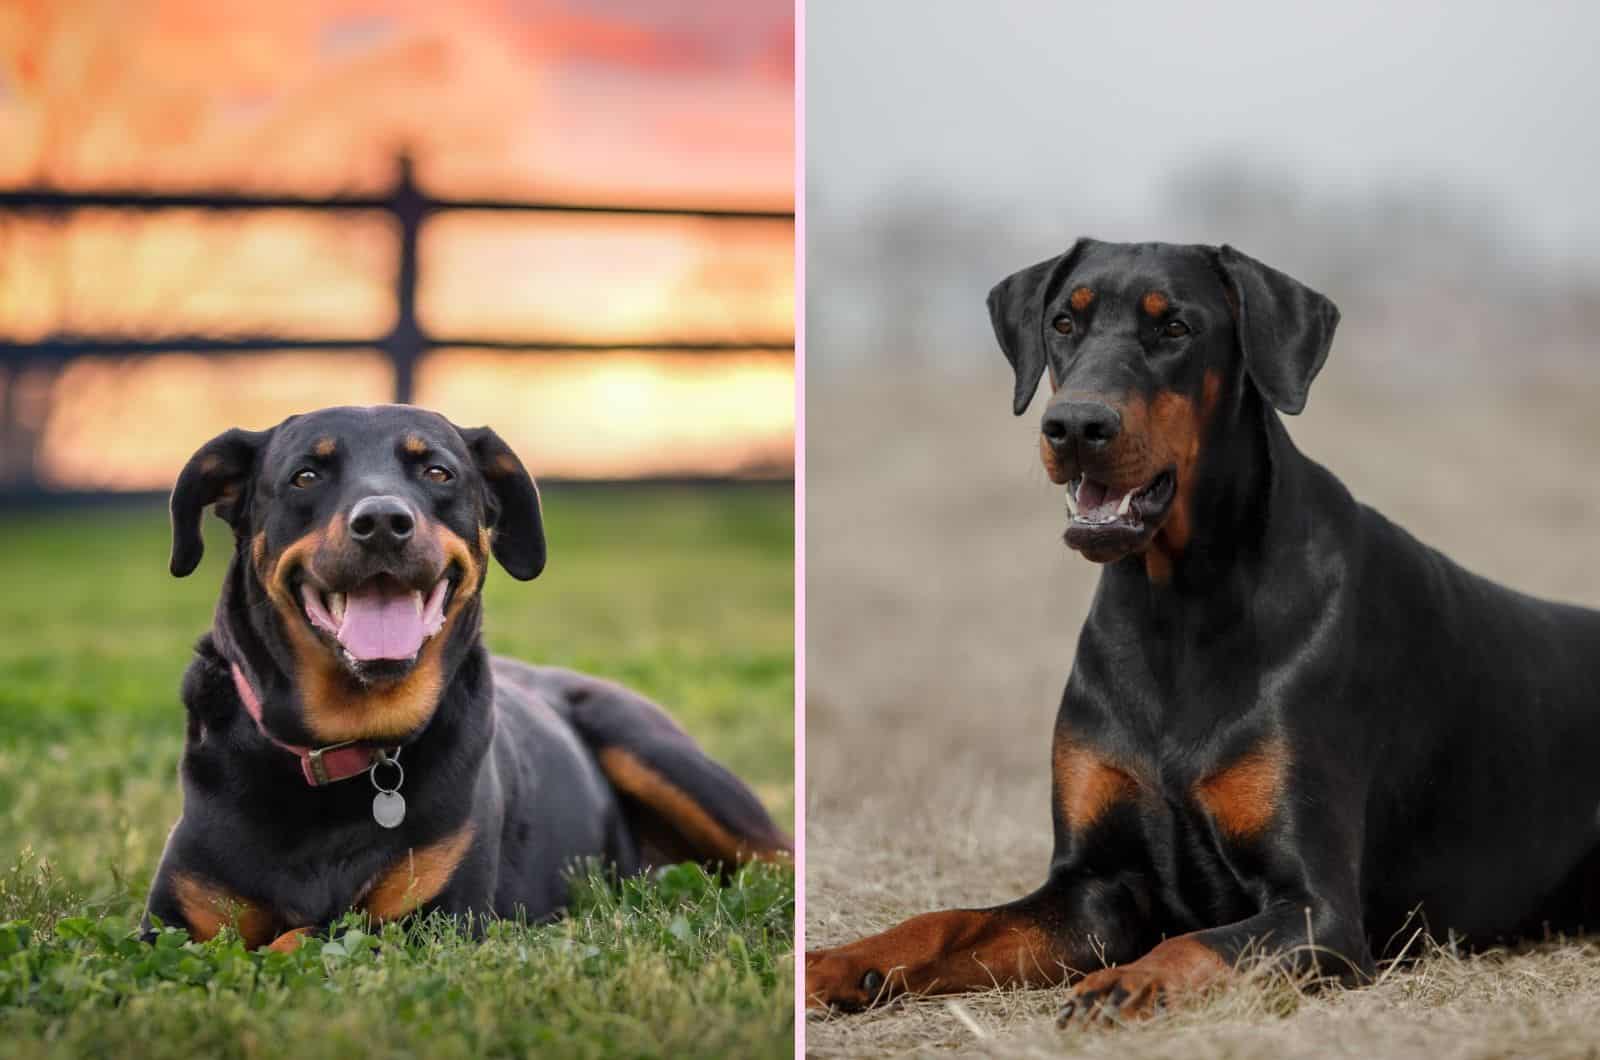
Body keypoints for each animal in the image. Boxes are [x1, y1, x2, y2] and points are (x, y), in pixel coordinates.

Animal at [142, 406, 787, 954]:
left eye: (437, 471)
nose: (383, 522)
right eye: (305, 476)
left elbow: (303, 936)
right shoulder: (171, 922)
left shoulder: (437, 921)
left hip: (655, 751)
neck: (347, 747)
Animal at [806, 238, 1600, 1024]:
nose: (1075, 426)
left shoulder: (1320, 912)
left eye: (1176, 328)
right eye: (1064, 322)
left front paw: (1125, 983)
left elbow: (1199, 944)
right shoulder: (1091, 887)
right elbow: (947, 922)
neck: (1176, 609)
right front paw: (842, 961)